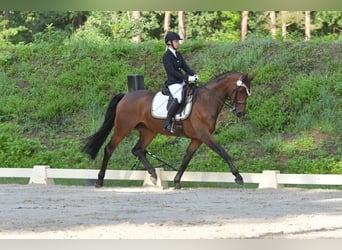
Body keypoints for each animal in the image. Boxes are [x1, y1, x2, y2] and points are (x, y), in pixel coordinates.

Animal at [83, 71, 254, 188]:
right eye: (240, 91)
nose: (240, 113)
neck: (207, 101)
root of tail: (126, 96)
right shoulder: (205, 135)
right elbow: (223, 152)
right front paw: (238, 177)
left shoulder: (197, 139)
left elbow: (186, 159)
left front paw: (177, 181)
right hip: (123, 127)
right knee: (109, 149)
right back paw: (99, 180)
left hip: (149, 132)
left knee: (137, 150)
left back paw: (153, 174)